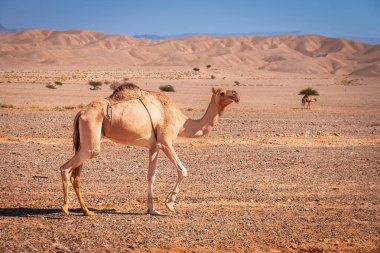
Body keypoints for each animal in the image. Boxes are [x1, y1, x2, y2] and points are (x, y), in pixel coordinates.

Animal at [58, 83, 240, 215]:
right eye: (221, 93)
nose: (236, 95)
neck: (181, 121)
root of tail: (80, 113)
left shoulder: (154, 146)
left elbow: (151, 176)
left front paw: (152, 209)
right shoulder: (166, 142)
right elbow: (183, 170)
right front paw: (169, 204)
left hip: (84, 142)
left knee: (76, 174)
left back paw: (86, 211)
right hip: (91, 138)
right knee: (65, 168)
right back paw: (65, 208)